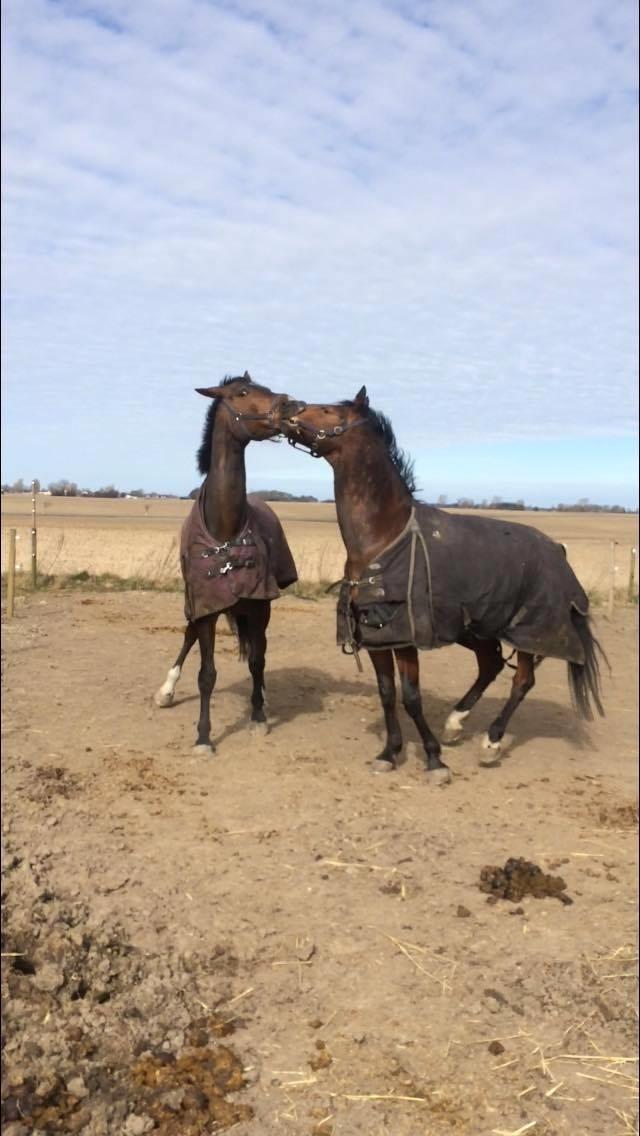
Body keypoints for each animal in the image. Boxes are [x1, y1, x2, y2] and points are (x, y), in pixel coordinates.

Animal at [156, 372, 302, 758]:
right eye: (242, 392)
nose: (291, 405)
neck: (225, 529)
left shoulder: (259, 606)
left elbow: (257, 661)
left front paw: (258, 717)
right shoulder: (206, 607)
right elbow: (206, 674)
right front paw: (204, 738)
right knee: (188, 634)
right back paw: (166, 690)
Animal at [283, 388, 609, 781]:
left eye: (329, 411)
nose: (286, 407)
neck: (385, 536)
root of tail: (557, 550)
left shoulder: (405, 637)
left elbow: (411, 697)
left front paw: (434, 760)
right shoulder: (378, 637)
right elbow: (387, 694)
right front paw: (389, 753)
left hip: (529, 632)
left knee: (522, 681)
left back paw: (490, 744)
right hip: (478, 628)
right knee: (491, 665)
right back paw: (455, 724)